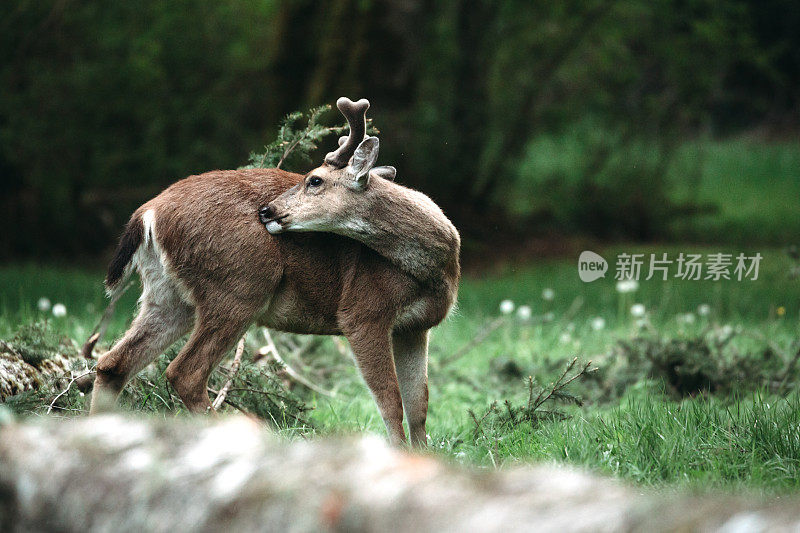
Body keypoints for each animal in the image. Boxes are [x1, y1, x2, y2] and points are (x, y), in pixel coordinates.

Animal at [90, 96, 460, 444]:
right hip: (239, 285)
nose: (267, 210)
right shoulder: (363, 313)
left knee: (112, 364)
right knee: (185, 373)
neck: (433, 271)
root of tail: (149, 211)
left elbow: (419, 408)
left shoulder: (415, 328)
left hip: (169, 295)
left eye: (315, 180)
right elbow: (391, 402)